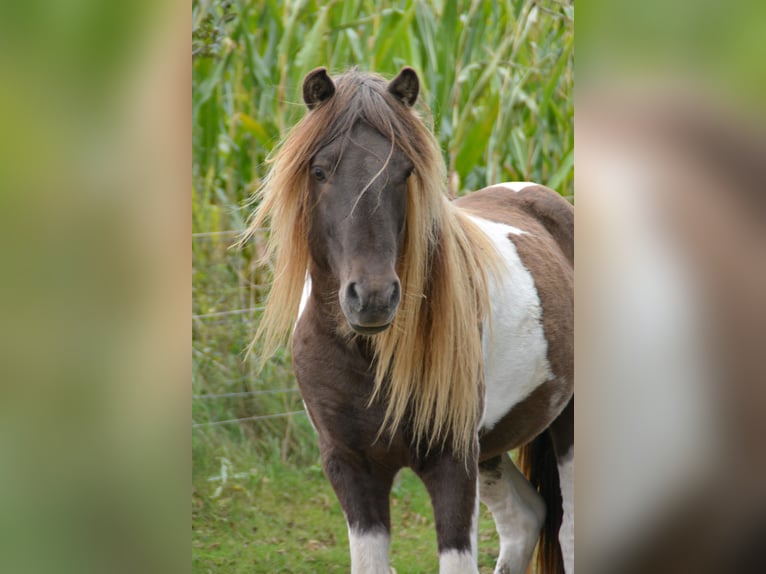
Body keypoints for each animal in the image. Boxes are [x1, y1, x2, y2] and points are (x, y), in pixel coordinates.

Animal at [242, 67, 574, 574]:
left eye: (405, 171)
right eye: (319, 171)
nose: (373, 298)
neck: (366, 358)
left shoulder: (453, 463)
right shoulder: (351, 467)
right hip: (493, 448)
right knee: (526, 519)